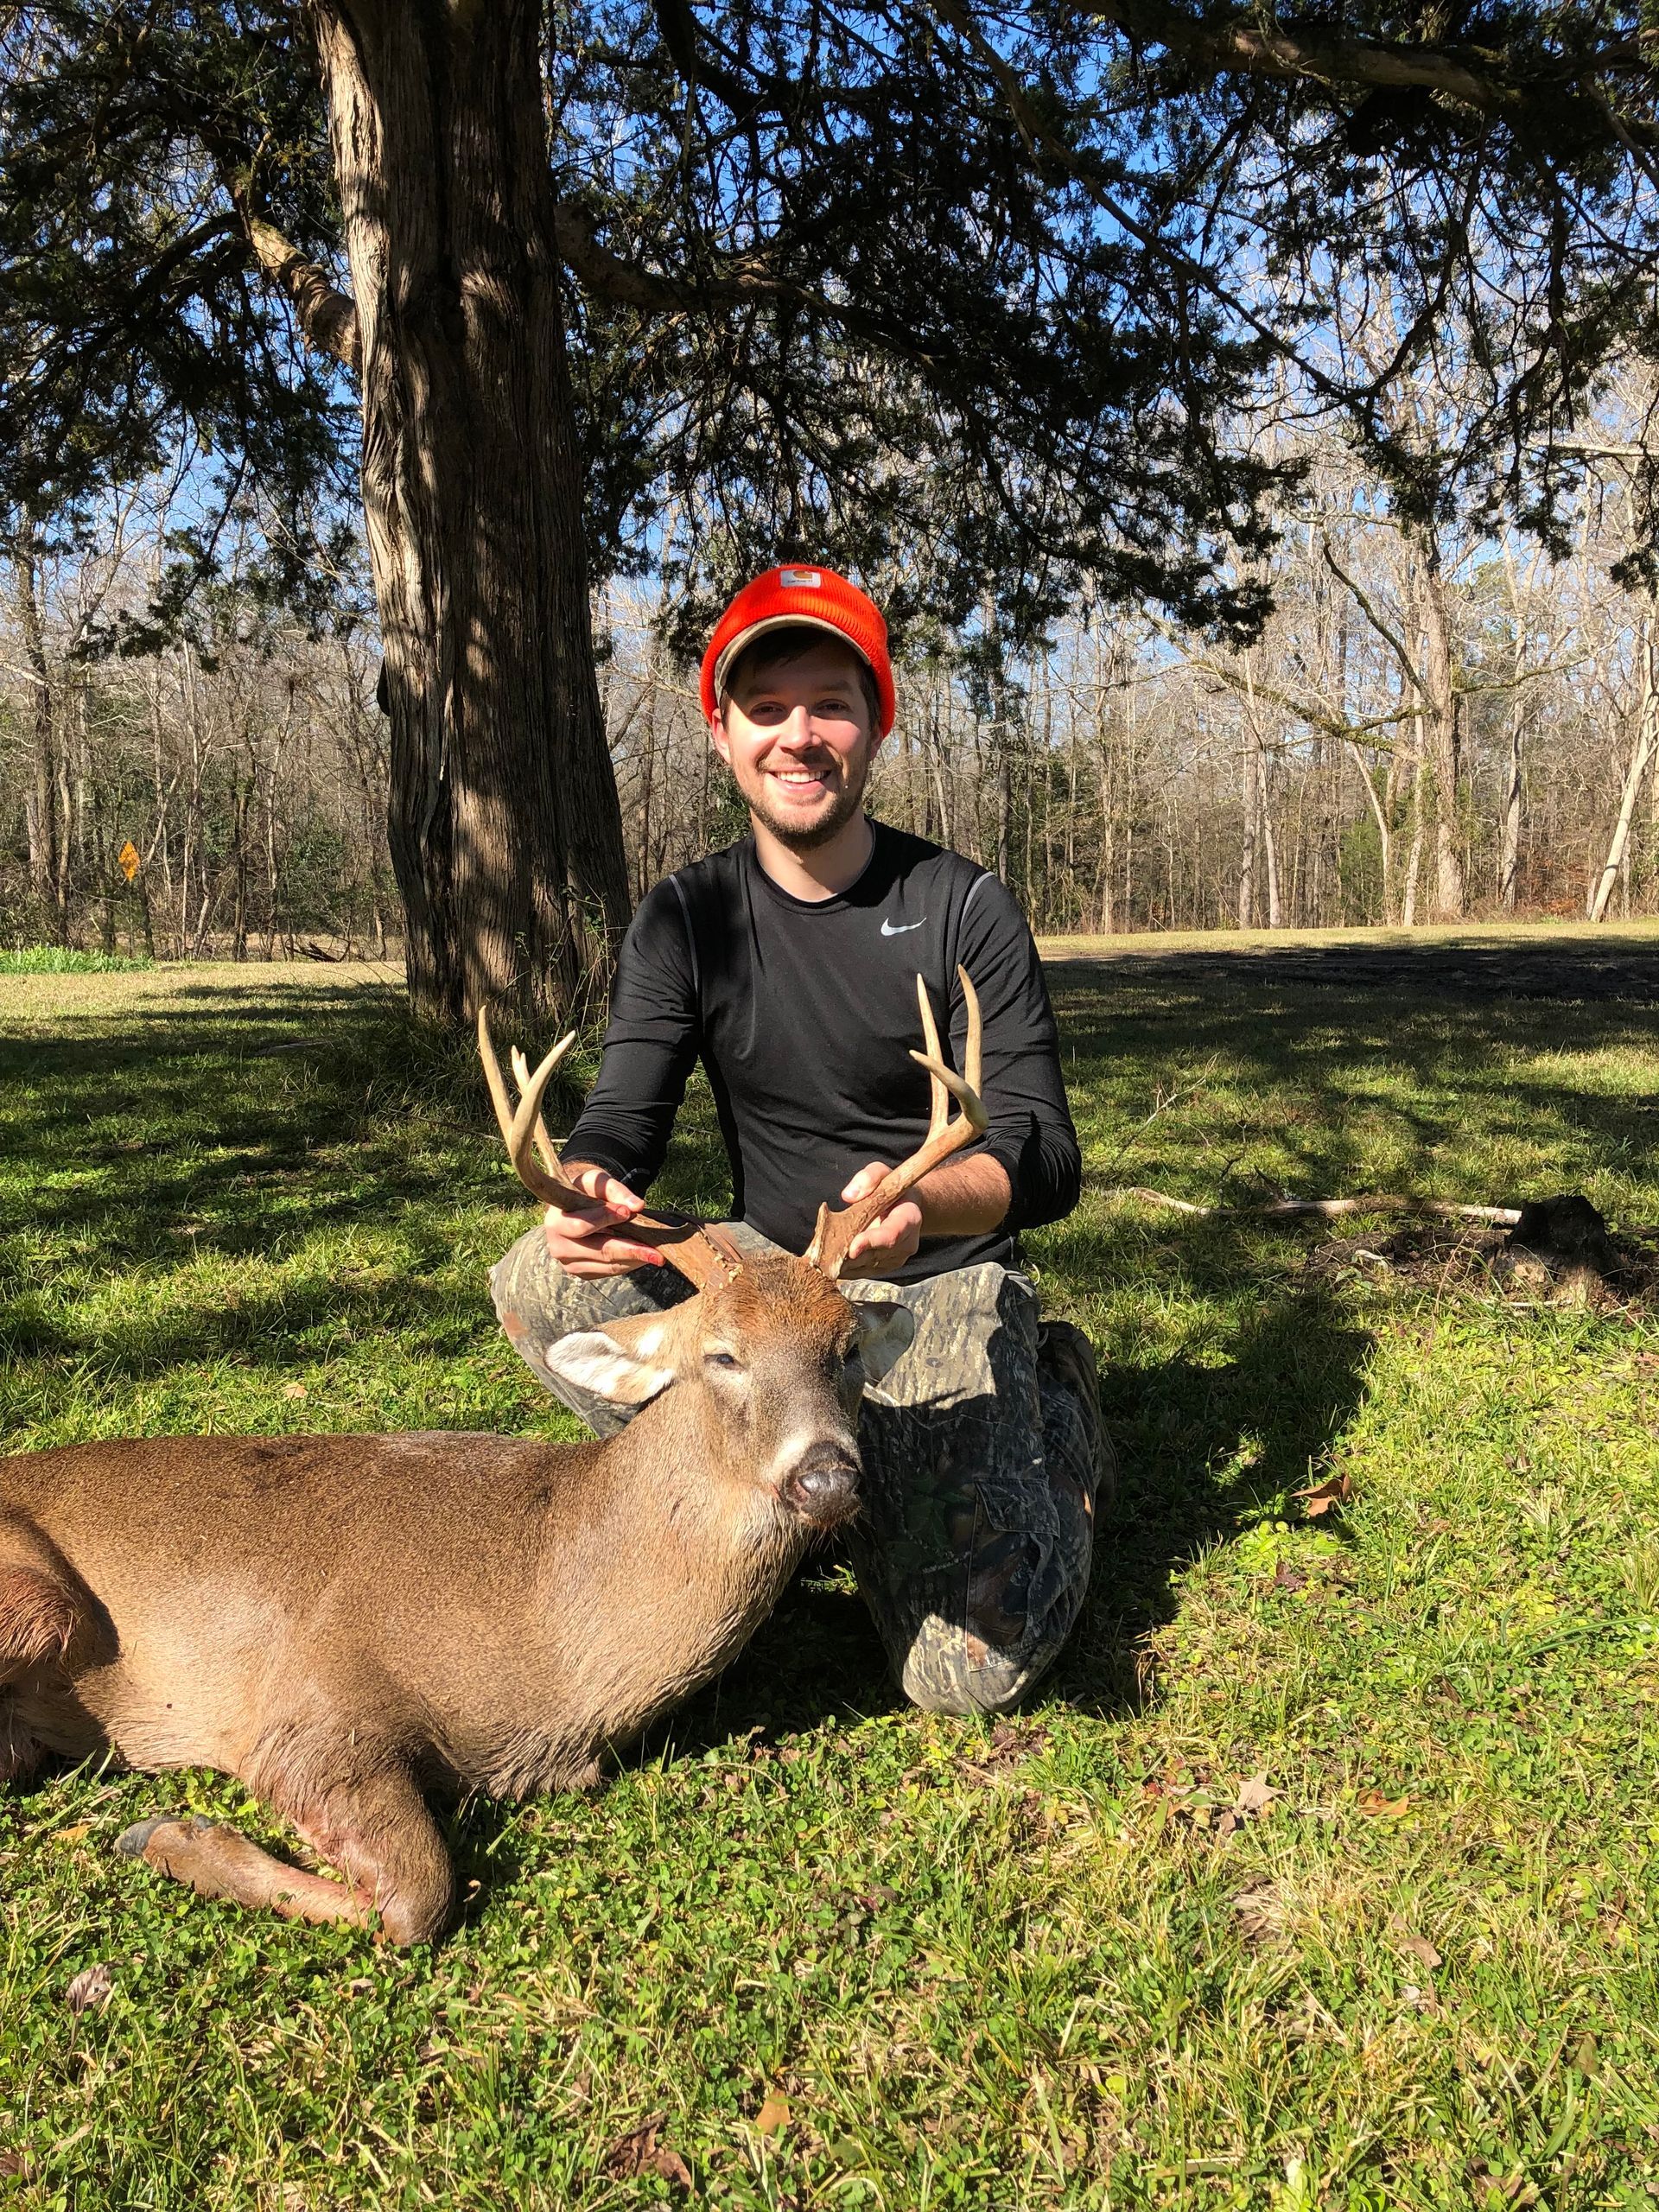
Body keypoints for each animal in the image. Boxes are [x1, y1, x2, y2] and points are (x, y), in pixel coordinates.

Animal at [0, 971, 986, 1944]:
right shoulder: (308, 1706)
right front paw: (166, 1834)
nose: (827, 1476)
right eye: (723, 1354)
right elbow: (418, 1898)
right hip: (41, 1603)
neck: (550, 1637)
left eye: (846, 1346)